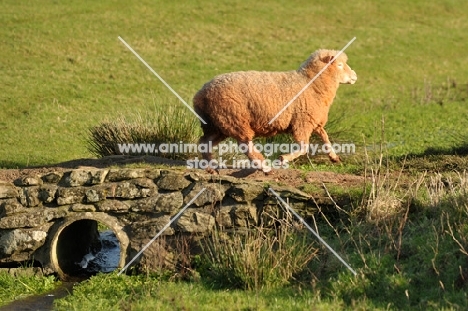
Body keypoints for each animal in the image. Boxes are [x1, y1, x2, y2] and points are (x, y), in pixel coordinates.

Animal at [192, 50, 356, 174]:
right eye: (340, 65)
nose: (355, 76)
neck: (312, 83)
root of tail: (200, 95)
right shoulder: (302, 122)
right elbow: (304, 148)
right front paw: (283, 158)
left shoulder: (313, 121)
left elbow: (325, 137)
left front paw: (334, 157)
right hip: (233, 118)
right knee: (245, 144)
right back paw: (263, 167)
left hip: (216, 124)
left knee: (204, 143)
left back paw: (212, 166)